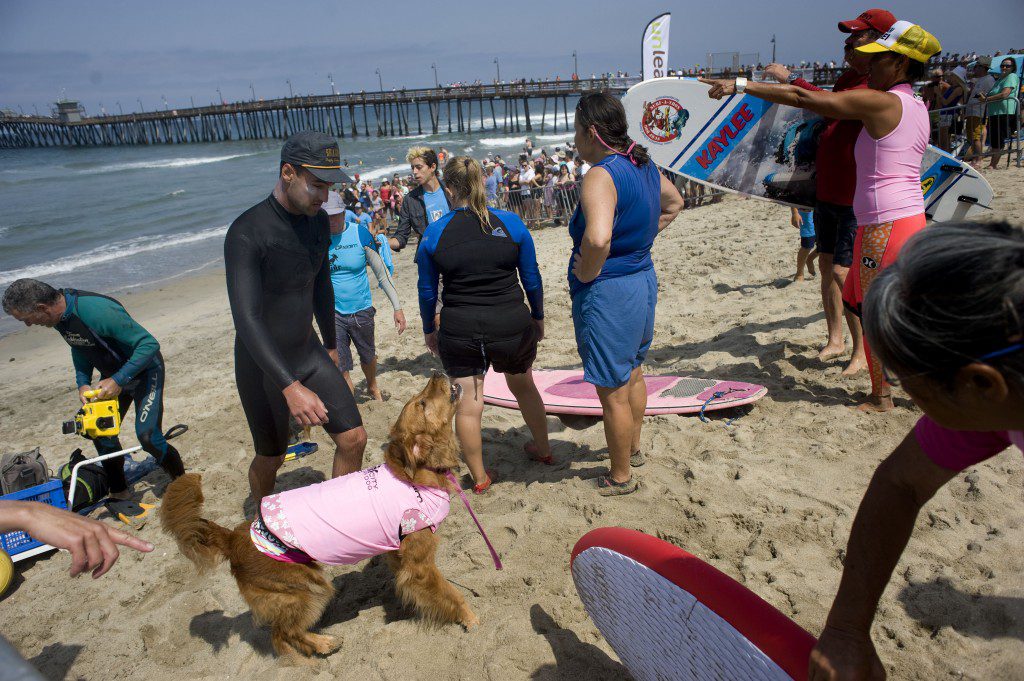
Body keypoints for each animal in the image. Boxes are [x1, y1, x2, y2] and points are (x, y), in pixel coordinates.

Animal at [159, 374, 479, 659]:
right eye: (422, 403)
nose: (437, 371)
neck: (415, 475)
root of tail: (234, 535)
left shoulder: (399, 555)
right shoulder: (420, 564)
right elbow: (451, 593)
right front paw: (468, 616)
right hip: (306, 587)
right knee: (282, 633)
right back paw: (322, 644)